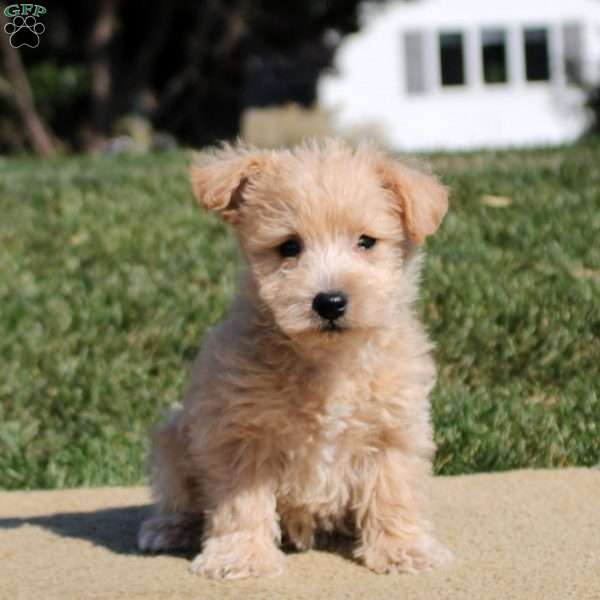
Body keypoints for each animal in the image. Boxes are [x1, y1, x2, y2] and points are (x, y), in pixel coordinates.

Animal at [138, 138, 450, 580]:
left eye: (366, 242)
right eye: (289, 246)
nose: (330, 302)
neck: (327, 363)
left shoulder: (393, 429)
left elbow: (394, 491)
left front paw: (404, 549)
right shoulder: (241, 434)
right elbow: (241, 505)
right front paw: (241, 556)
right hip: (171, 437)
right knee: (176, 495)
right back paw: (168, 528)